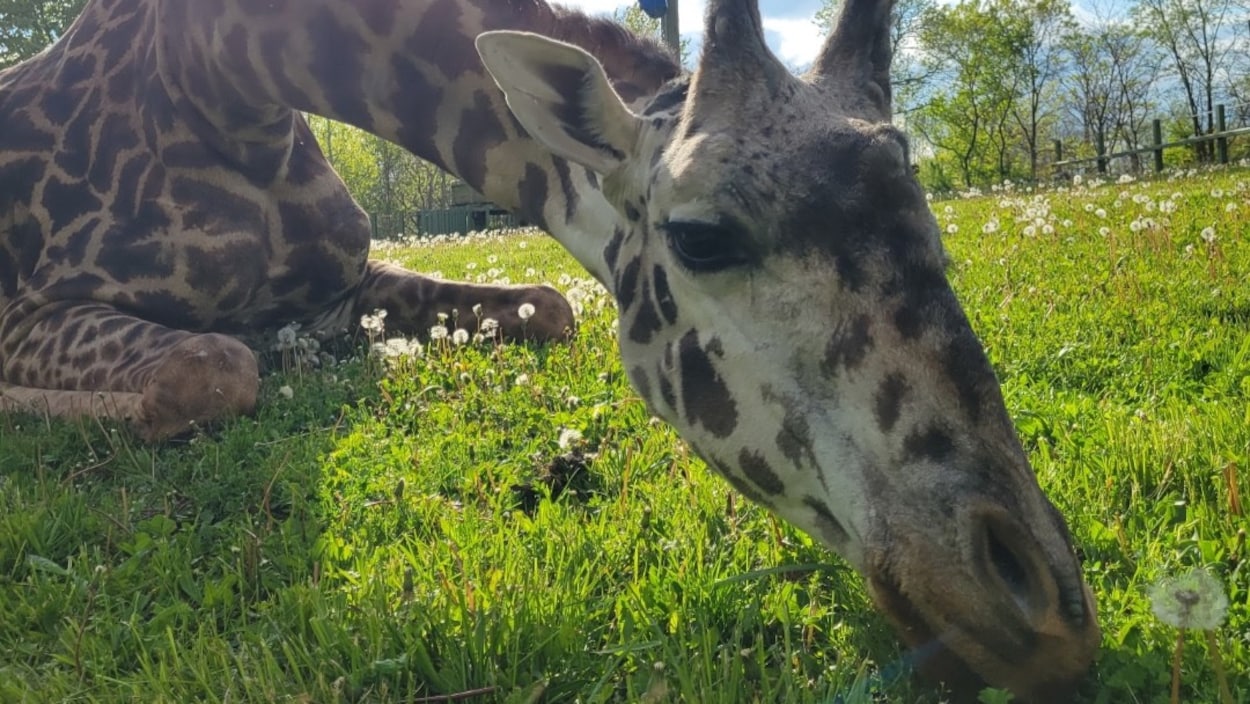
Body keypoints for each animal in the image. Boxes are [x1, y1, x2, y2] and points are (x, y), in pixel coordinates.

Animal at [0, 0, 1100, 699]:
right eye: (701, 237)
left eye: (930, 220)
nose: (1047, 613)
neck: (228, 80)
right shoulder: (27, 306)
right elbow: (210, 366)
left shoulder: (348, 282)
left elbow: (548, 307)